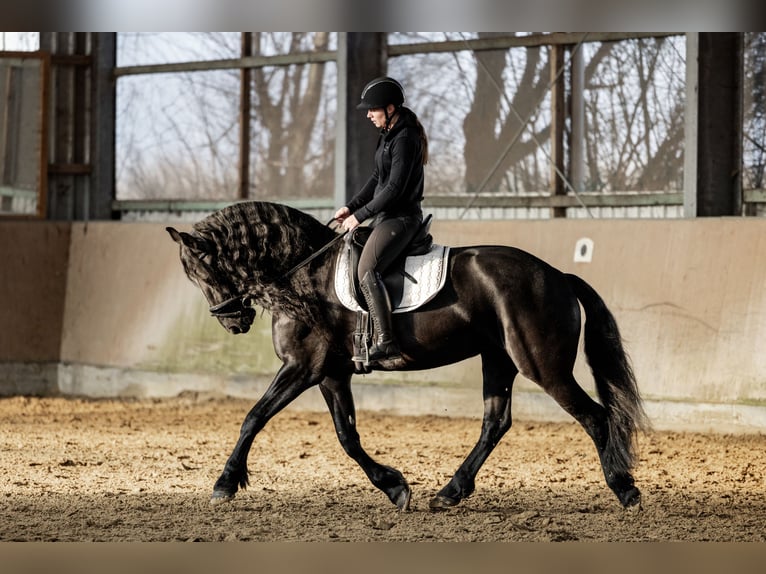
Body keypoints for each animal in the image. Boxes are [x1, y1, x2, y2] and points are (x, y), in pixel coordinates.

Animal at [168, 202, 648, 512]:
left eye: (203, 271)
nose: (233, 321)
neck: (305, 278)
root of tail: (557, 275)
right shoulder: (330, 374)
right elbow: (347, 436)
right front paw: (395, 488)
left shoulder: (303, 367)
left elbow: (253, 417)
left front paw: (225, 484)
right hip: (498, 358)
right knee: (495, 423)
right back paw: (449, 492)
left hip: (542, 365)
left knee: (595, 417)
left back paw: (625, 490)